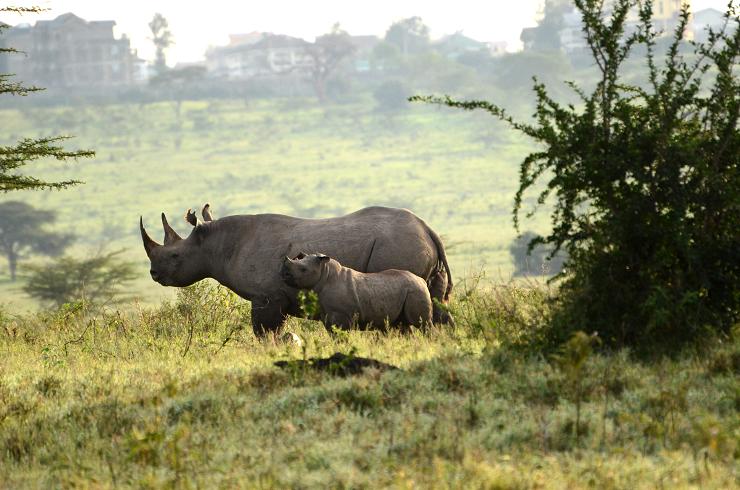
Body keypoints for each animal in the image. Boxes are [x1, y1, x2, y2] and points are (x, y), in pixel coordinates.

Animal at [282, 255, 434, 332]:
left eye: (303, 269)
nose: (284, 274)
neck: (325, 273)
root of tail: (422, 281)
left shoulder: (341, 316)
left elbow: (340, 335)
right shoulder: (327, 315)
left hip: (415, 290)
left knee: (422, 324)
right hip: (409, 290)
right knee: (401, 326)